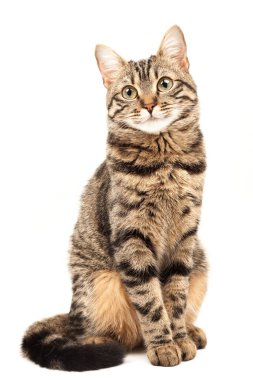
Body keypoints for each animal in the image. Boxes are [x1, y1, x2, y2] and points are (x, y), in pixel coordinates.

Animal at [21, 26, 208, 372]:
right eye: (129, 92)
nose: (149, 104)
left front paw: (179, 338)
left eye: (164, 84)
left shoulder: (185, 236)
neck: (164, 160)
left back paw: (192, 331)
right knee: (87, 329)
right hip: (98, 282)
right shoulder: (132, 237)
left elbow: (175, 297)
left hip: (201, 264)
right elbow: (150, 301)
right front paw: (163, 345)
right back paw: (99, 343)